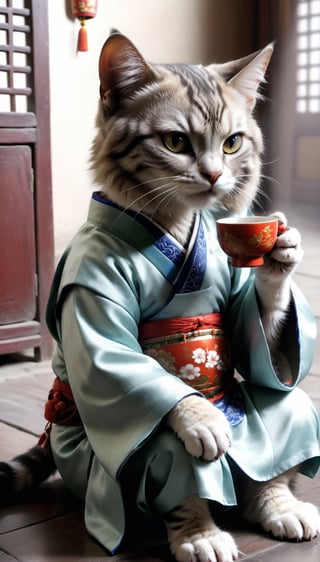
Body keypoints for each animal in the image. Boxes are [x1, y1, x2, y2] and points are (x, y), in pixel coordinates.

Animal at [0, 32, 320, 560]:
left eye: (232, 143)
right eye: (175, 142)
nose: (215, 176)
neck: (171, 218)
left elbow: (255, 338)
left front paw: (282, 257)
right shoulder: (90, 285)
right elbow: (120, 366)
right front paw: (200, 418)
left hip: (278, 420)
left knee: (285, 407)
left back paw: (278, 504)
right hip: (93, 463)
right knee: (170, 455)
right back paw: (200, 533)